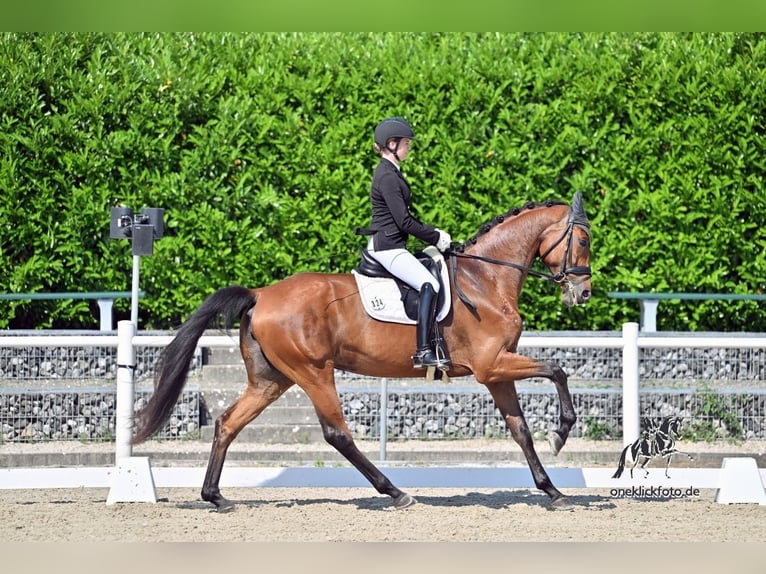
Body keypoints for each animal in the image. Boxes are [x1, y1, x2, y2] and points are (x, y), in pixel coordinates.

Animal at [132, 191, 592, 512]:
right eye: (584, 240)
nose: (583, 293)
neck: (485, 279)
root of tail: (261, 294)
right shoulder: (491, 365)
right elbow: (557, 370)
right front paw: (562, 432)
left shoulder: (497, 373)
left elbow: (521, 430)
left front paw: (552, 489)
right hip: (313, 372)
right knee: (337, 434)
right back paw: (396, 492)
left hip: (272, 380)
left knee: (228, 422)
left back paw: (216, 496)